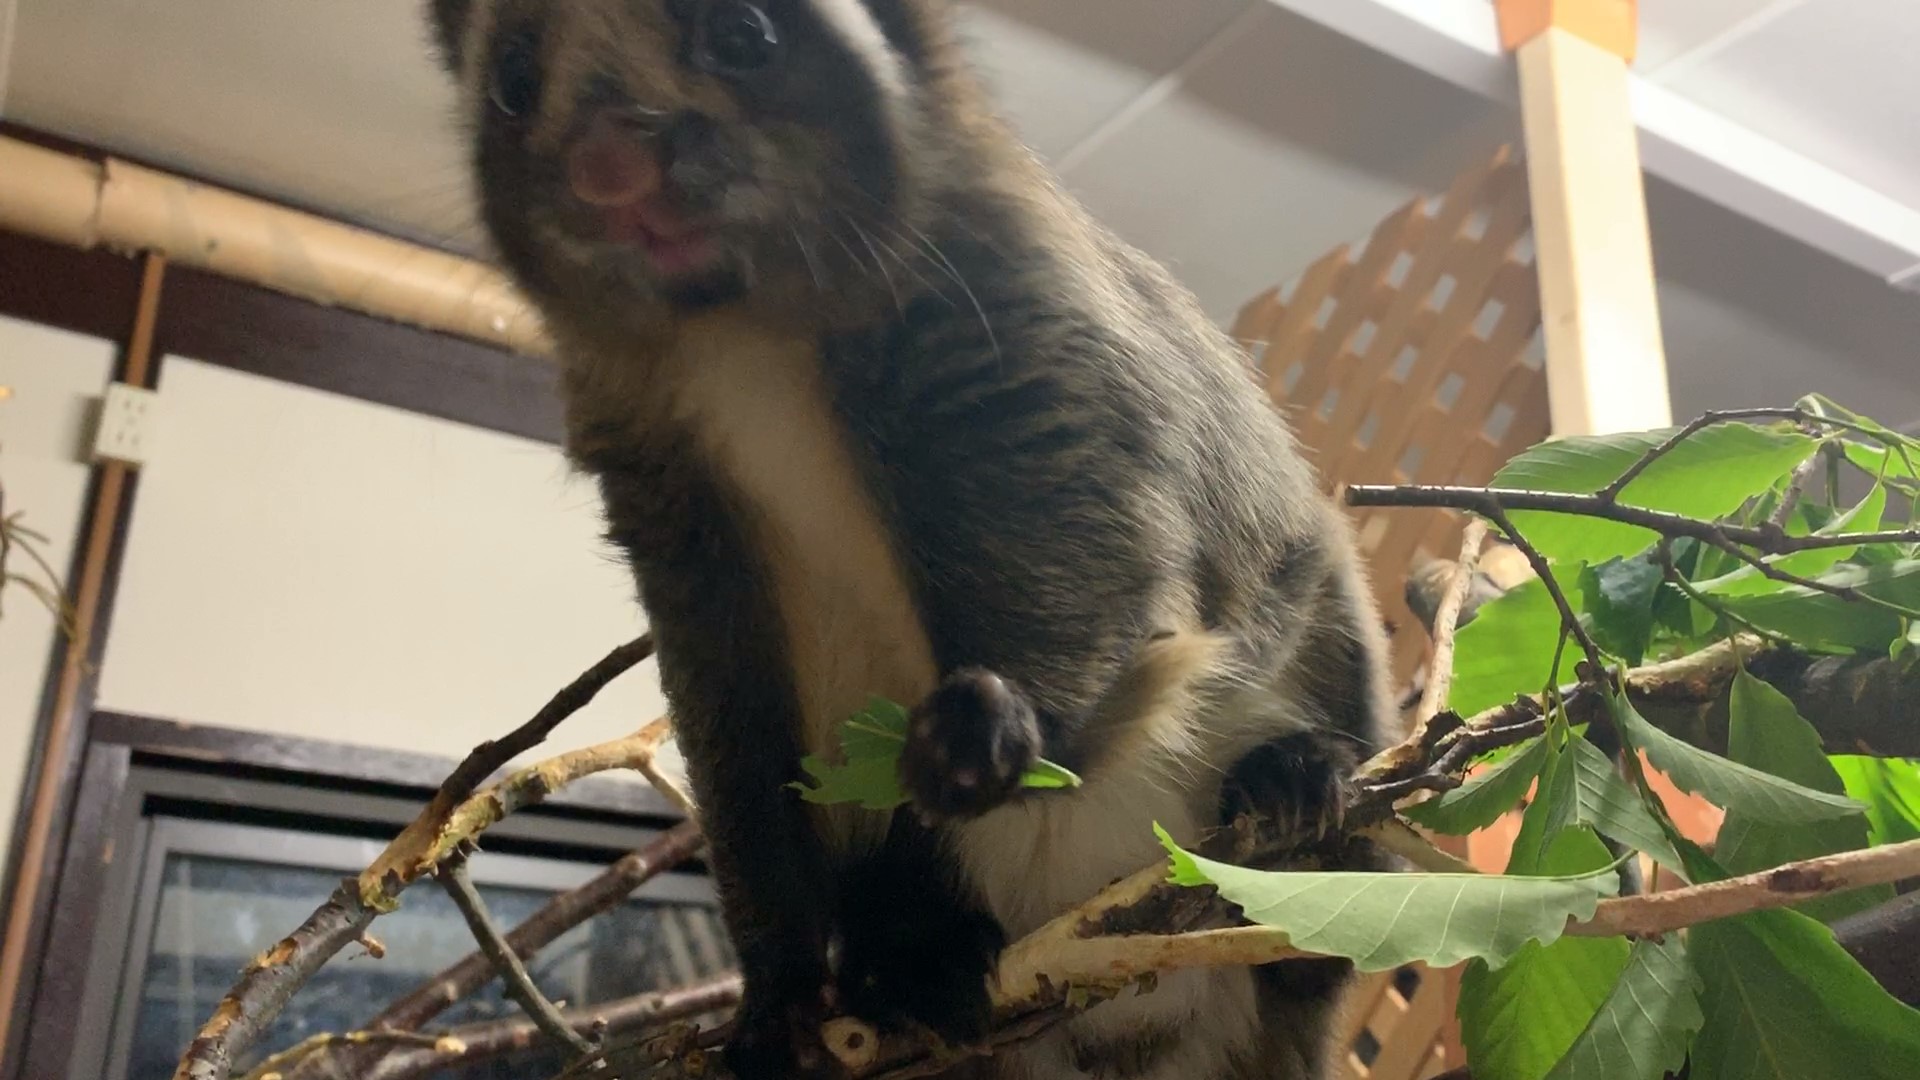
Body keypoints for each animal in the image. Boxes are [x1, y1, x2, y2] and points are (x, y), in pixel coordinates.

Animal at [432, 4, 1397, 1068]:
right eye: (511, 80)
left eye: (748, 33)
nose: (610, 166)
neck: (741, 338)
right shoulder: (677, 522)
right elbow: (741, 781)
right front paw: (778, 998)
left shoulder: (1034, 360)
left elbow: (1092, 552)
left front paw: (997, 730)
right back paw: (917, 964)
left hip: (1326, 663)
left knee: (1311, 947)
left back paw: (1299, 792)